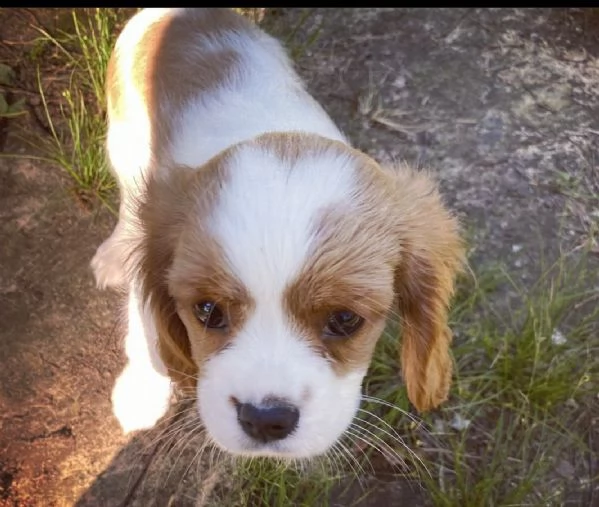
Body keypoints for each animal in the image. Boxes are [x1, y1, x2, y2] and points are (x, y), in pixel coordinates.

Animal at [91, 7, 466, 460]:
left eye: (345, 320)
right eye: (207, 311)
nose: (265, 419)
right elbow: (144, 323)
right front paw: (141, 393)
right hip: (124, 145)